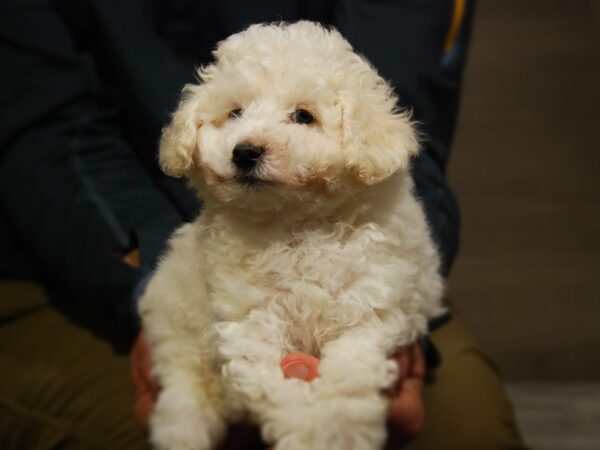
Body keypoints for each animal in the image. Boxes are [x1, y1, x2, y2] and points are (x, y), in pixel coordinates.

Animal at [138, 20, 442, 450]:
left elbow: (348, 374)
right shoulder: (248, 320)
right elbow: (274, 382)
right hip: (177, 317)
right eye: (235, 113)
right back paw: (183, 428)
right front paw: (304, 429)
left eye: (303, 116)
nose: (244, 152)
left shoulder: (371, 306)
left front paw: (337, 428)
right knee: (185, 378)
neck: (296, 223)